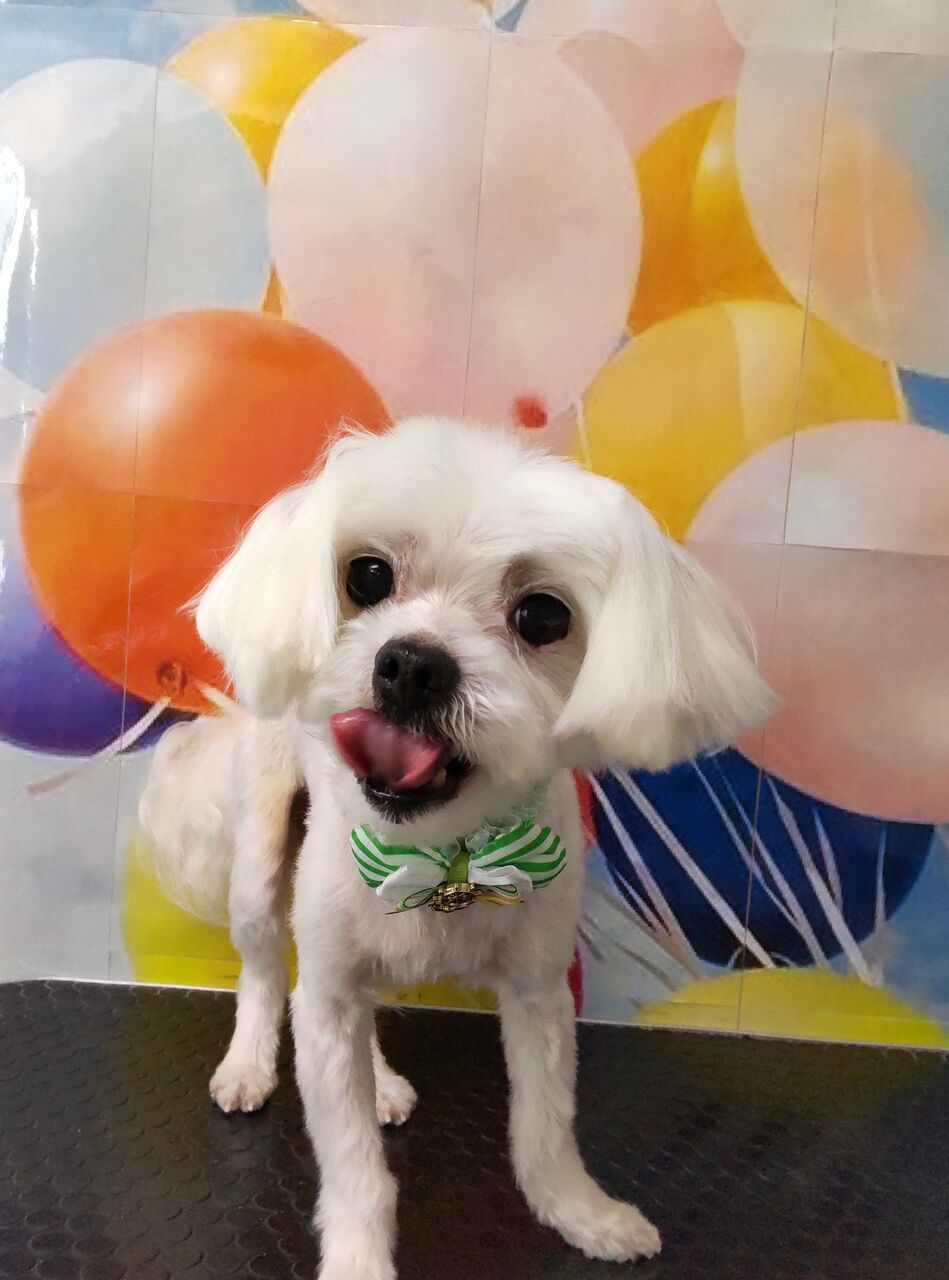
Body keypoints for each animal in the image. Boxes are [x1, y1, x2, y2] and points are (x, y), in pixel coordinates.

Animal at [139, 416, 773, 1278]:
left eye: (541, 617)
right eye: (368, 575)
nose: (411, 664)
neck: (444, 854)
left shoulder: (539, 992)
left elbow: (544, 1129)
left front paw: (582, 1214)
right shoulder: (329, 986)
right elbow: (353, 1166)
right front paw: (358, 1259)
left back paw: (380, 1082)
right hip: (262, 861)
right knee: (268, 974)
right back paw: (248, 1064)